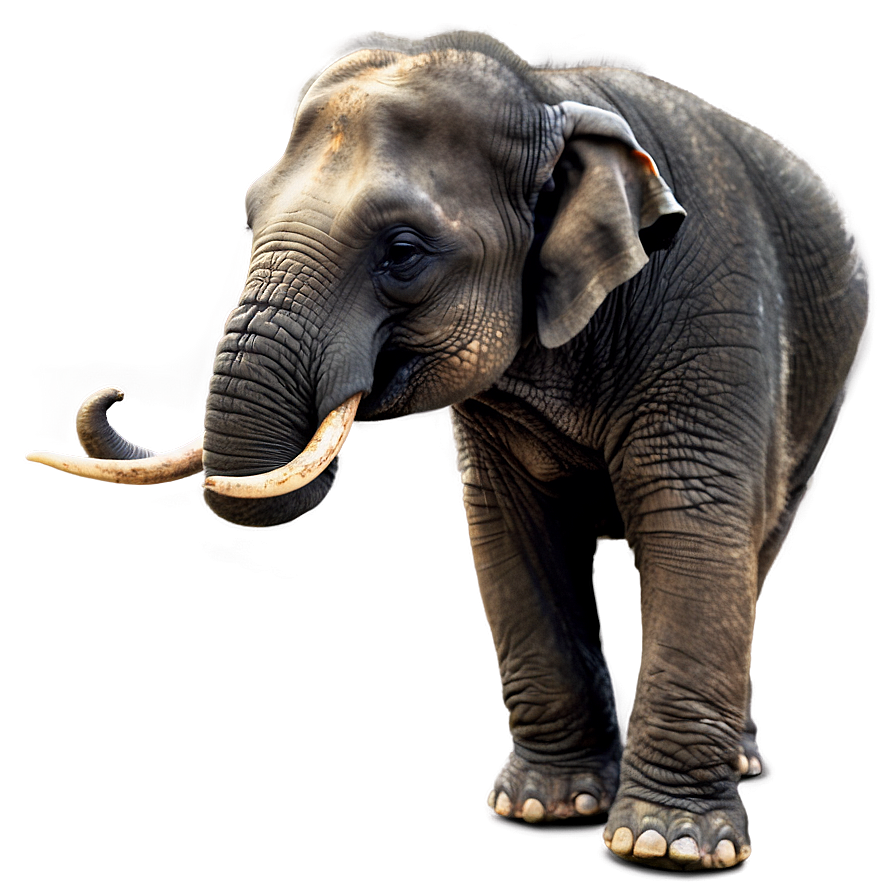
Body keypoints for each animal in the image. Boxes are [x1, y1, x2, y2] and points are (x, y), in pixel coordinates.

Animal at [27, 30, 867, 871]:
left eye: (403, 252)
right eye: (249, 214)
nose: (113, 392)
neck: (550, 99)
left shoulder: (711, 323)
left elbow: (695, 528)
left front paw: (667, 849)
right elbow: (514, 536)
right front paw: (543, 809)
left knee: (754, 544)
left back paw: (741, 764)